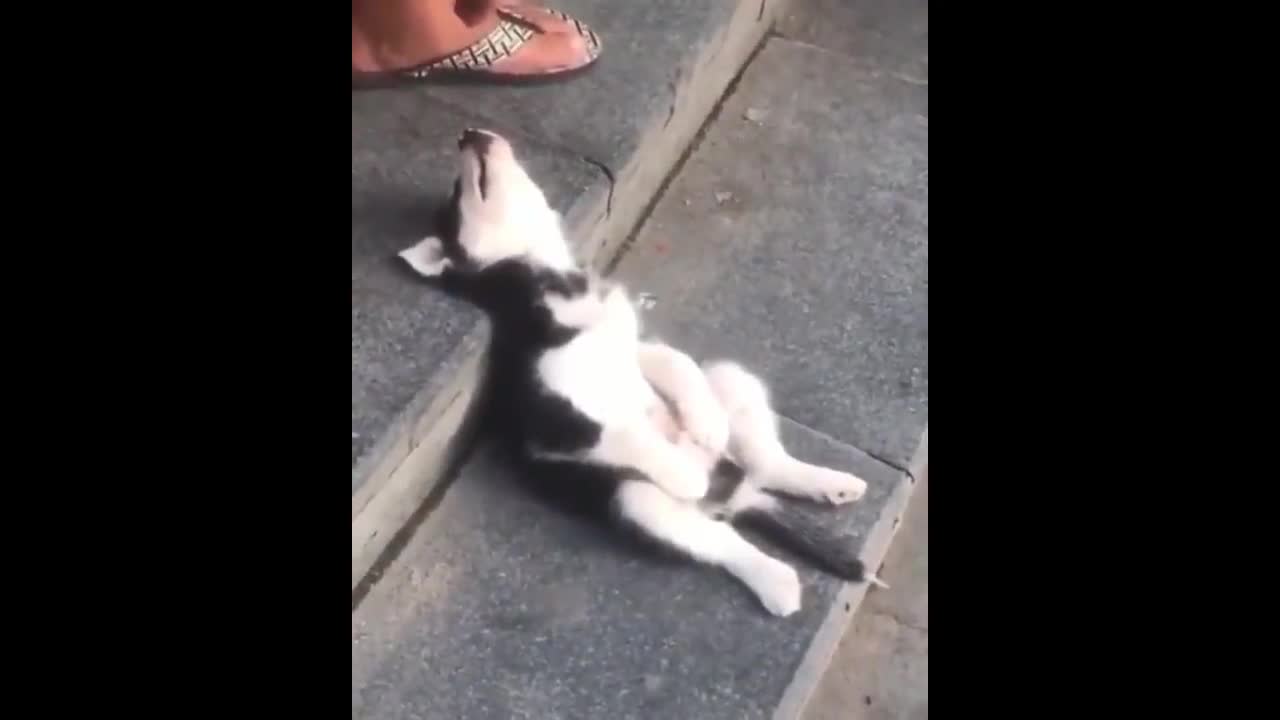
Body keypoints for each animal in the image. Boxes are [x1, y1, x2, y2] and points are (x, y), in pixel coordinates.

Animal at [399, 127, 880, 609]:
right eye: (457, 192)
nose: (467, 134)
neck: (556, 282)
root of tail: (734, 493)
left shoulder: (633, 347)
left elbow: (677, 362)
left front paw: (705, 426)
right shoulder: (559, 414)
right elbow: (629, 435)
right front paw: (686, 472)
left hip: (730, 379)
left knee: (766, 460)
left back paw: (828, 481)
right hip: (638, 501)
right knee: (725, 542)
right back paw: (776, 581)